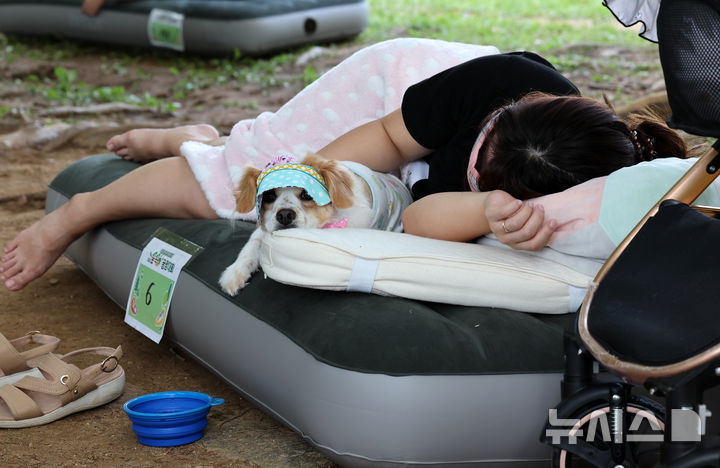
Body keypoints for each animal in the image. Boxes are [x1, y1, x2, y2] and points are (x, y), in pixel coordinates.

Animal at [218, 152, 410, 294]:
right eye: (269, 196)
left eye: (306, 194)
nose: (285, 215)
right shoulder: (263, 229)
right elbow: (251, 247)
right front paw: (233, 273)